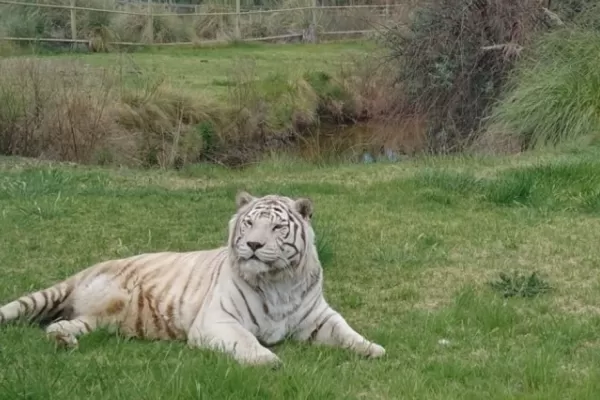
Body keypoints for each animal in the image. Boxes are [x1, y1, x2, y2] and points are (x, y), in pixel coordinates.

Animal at [0, 191, 384, 366]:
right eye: (249, 223)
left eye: (276, 227)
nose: (253, 245)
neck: (279, 281)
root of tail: (89, 268)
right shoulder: (218, 321)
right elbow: (246, 342)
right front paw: (269, 361)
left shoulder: (319, 317)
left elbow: (348, 332)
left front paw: (374, 349)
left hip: (96, 320)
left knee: (62, 325)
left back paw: (63, 341)